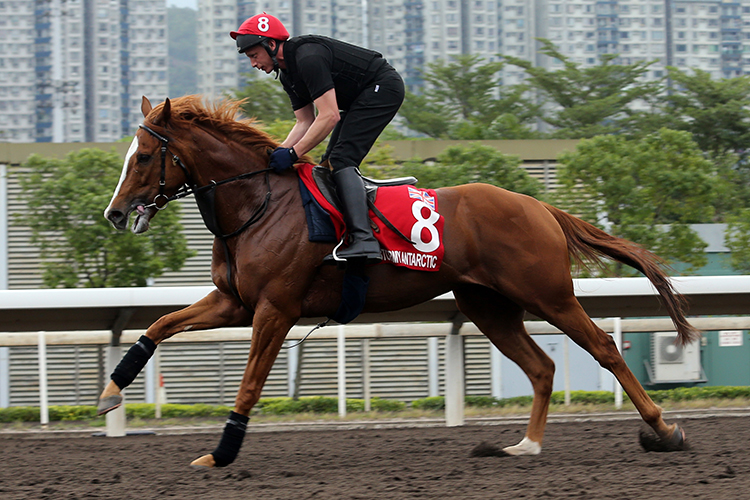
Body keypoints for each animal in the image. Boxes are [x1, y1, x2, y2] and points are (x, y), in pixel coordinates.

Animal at [98, 96, 700, 468]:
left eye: (144, 156)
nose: (115, 213)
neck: (257, 204)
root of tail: (539, 206)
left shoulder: (275, 309)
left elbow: (248, 383)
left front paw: (221, 453)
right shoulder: (234, 303)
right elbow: (159, 325)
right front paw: (110, 392)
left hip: (547, 294)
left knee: (602, 347)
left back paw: (665, 431)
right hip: (487, 306)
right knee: (542, 367)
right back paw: (523, 447)